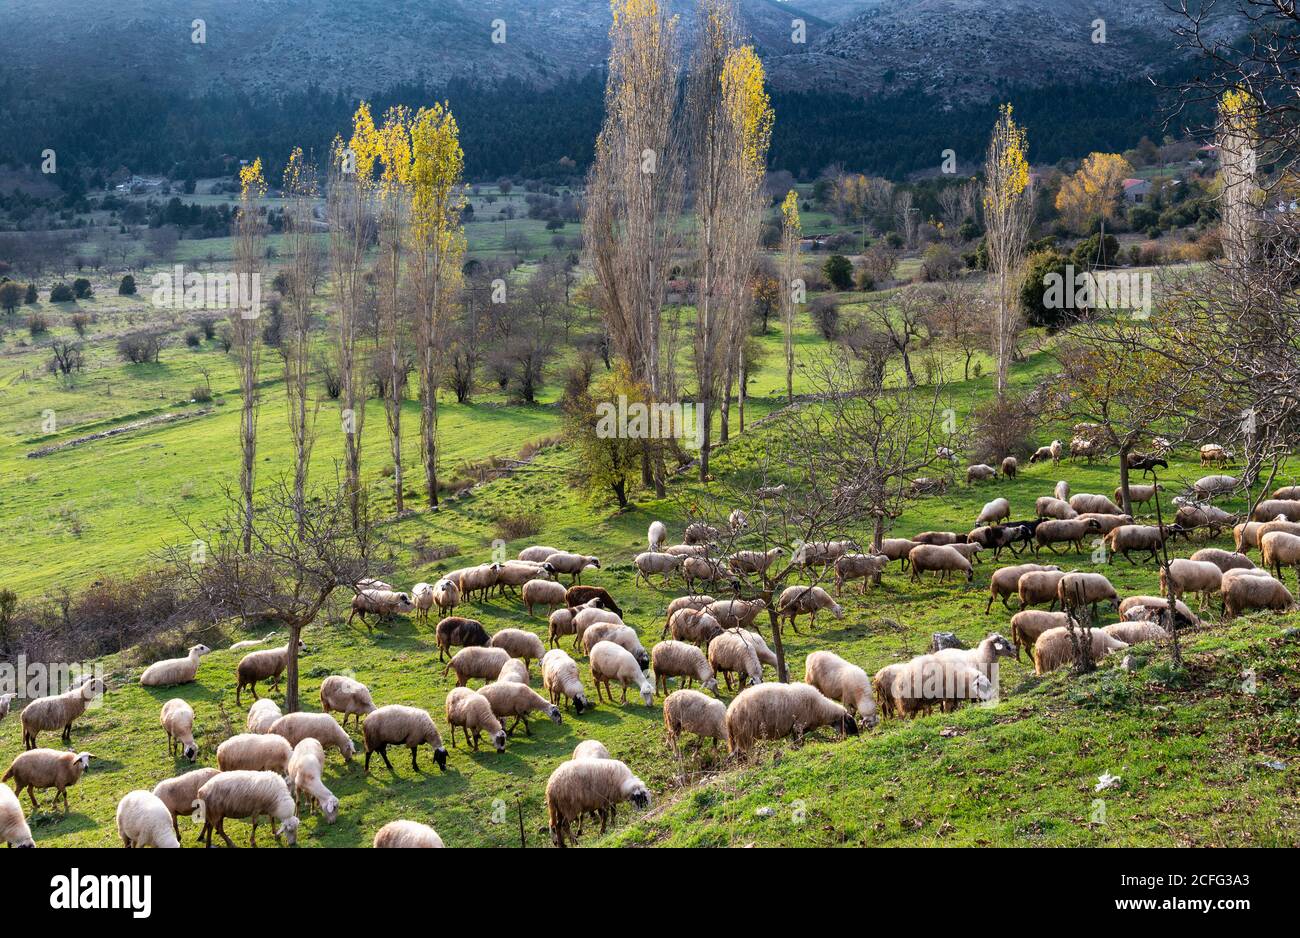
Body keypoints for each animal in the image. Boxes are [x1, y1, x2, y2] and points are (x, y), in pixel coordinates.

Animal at [724, 682, 858, 755]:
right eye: (850, 723)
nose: (857, 737)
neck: (821, 709)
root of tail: (729, 712)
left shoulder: (797, 728)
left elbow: (796, 741)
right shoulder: (798, 725)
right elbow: (800, 742)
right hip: (745, 735)